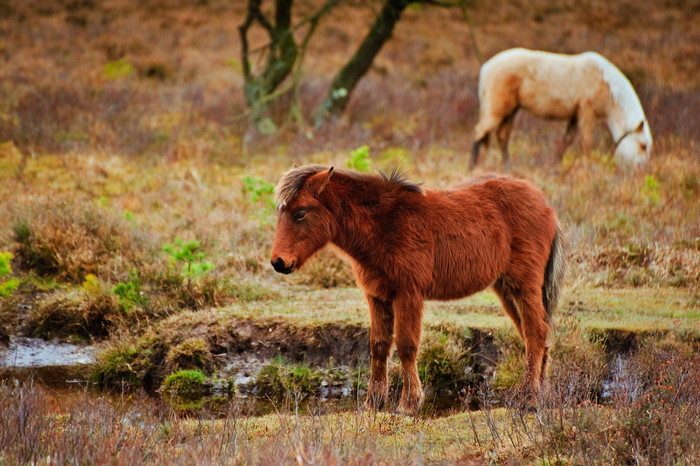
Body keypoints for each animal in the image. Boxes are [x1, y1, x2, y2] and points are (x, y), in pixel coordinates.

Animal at [474, 48, 652, 171]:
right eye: (643, 146)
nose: (641, 171)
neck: (607, 84)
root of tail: (485, 67)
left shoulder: (574, 116)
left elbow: (566, 141)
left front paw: (556, 165)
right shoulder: (586, 112)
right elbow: (586, 142)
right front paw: (586, 166)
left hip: (510, 111)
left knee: (502, 136)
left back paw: (506, 167)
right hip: (497, 109)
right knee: (480, 132)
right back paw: (474, 167)